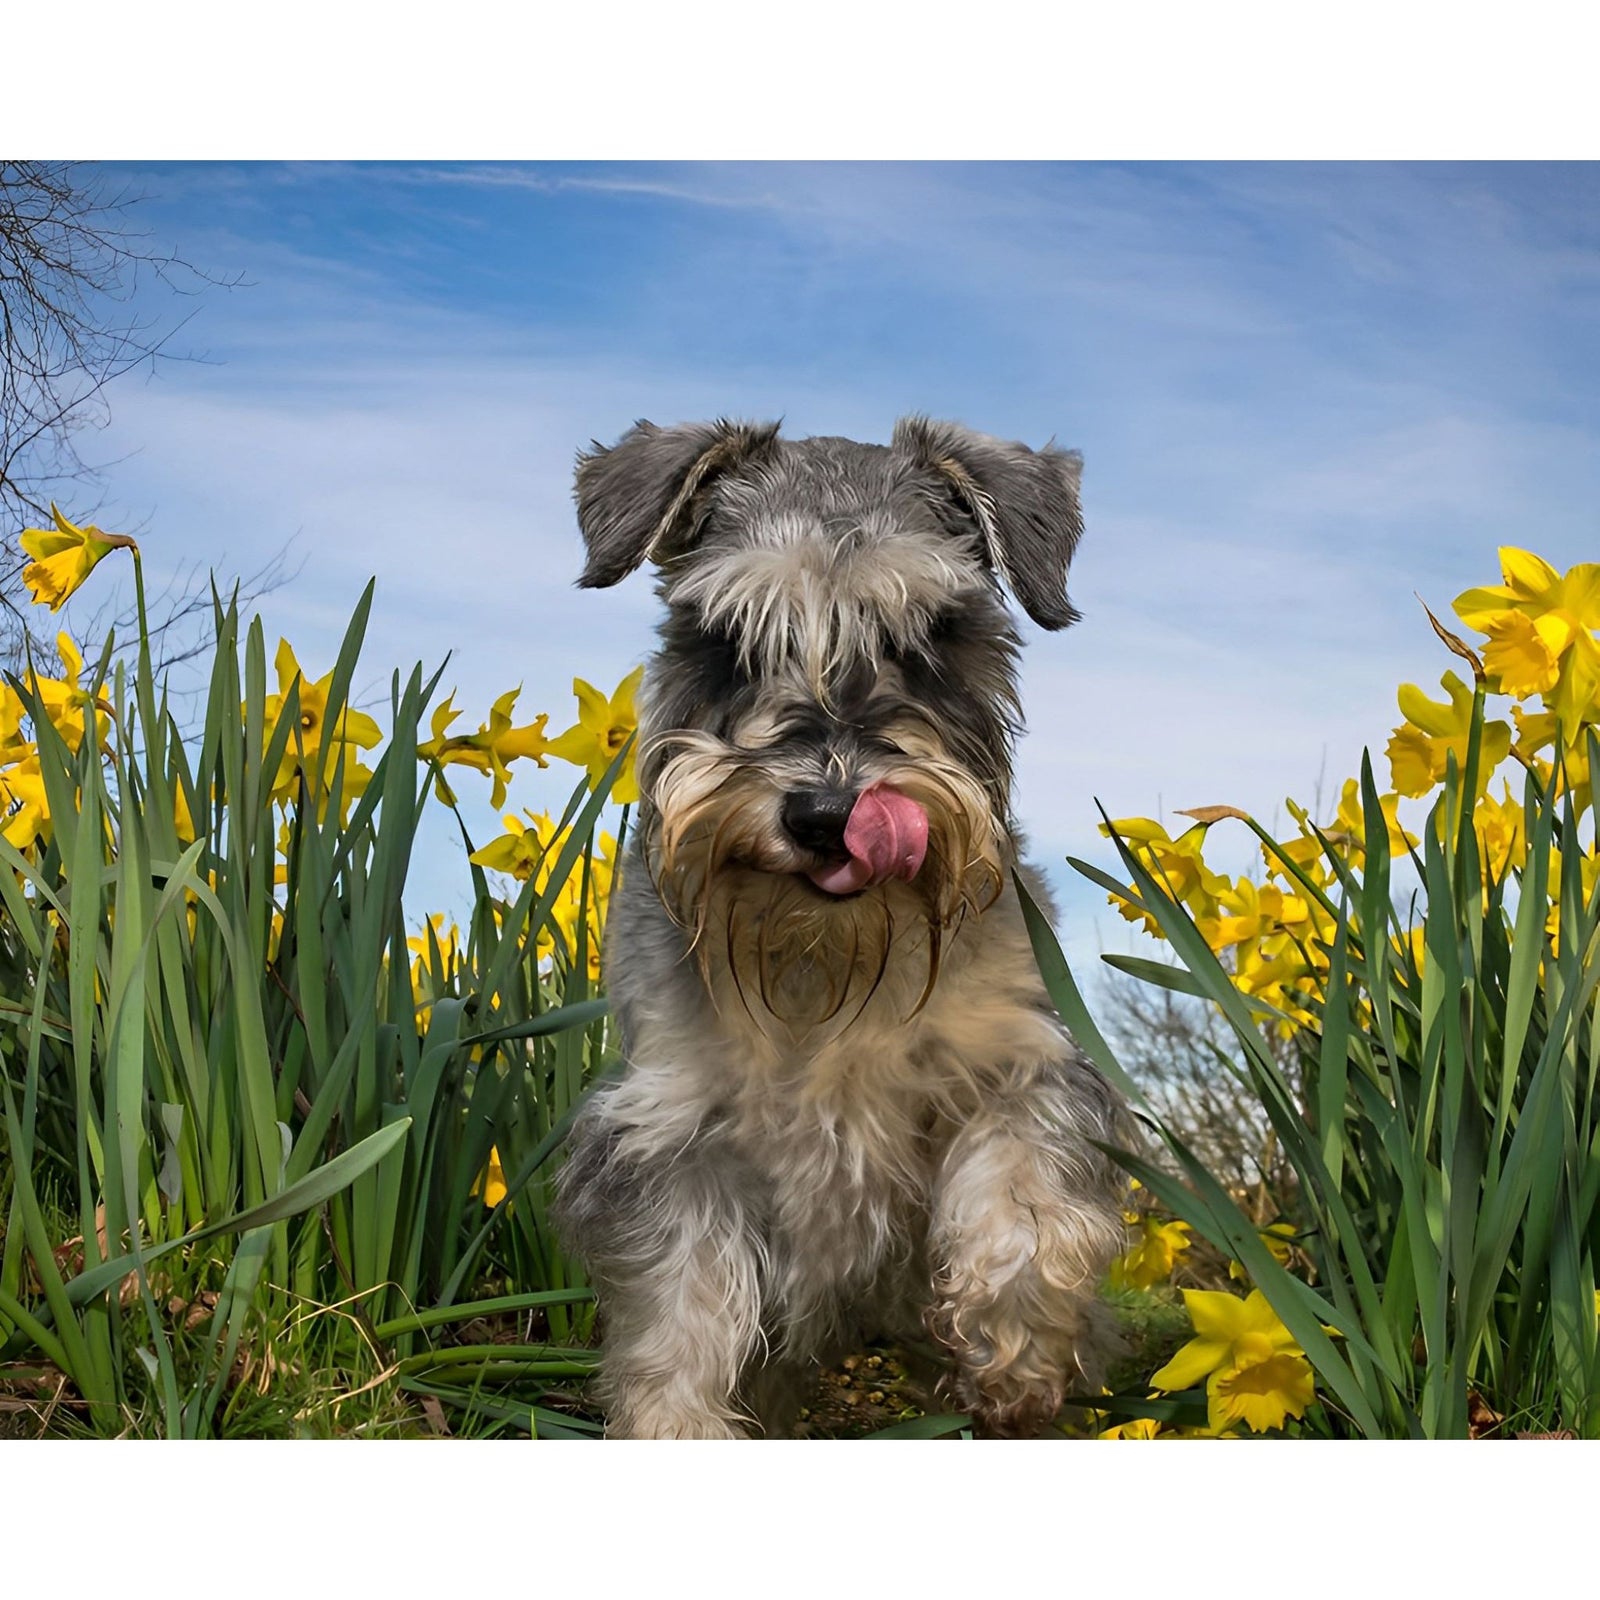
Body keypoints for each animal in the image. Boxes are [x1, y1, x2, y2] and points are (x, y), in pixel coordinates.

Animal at [556, 412, 1132, 1440]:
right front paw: (677, 1427)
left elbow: (1025, 1209)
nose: (826, 815)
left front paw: (1014, 1360)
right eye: (729, 640)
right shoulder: (670, 1134)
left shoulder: (1027, 1059)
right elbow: (681, 1324)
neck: (828, 961)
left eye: (925, 638)